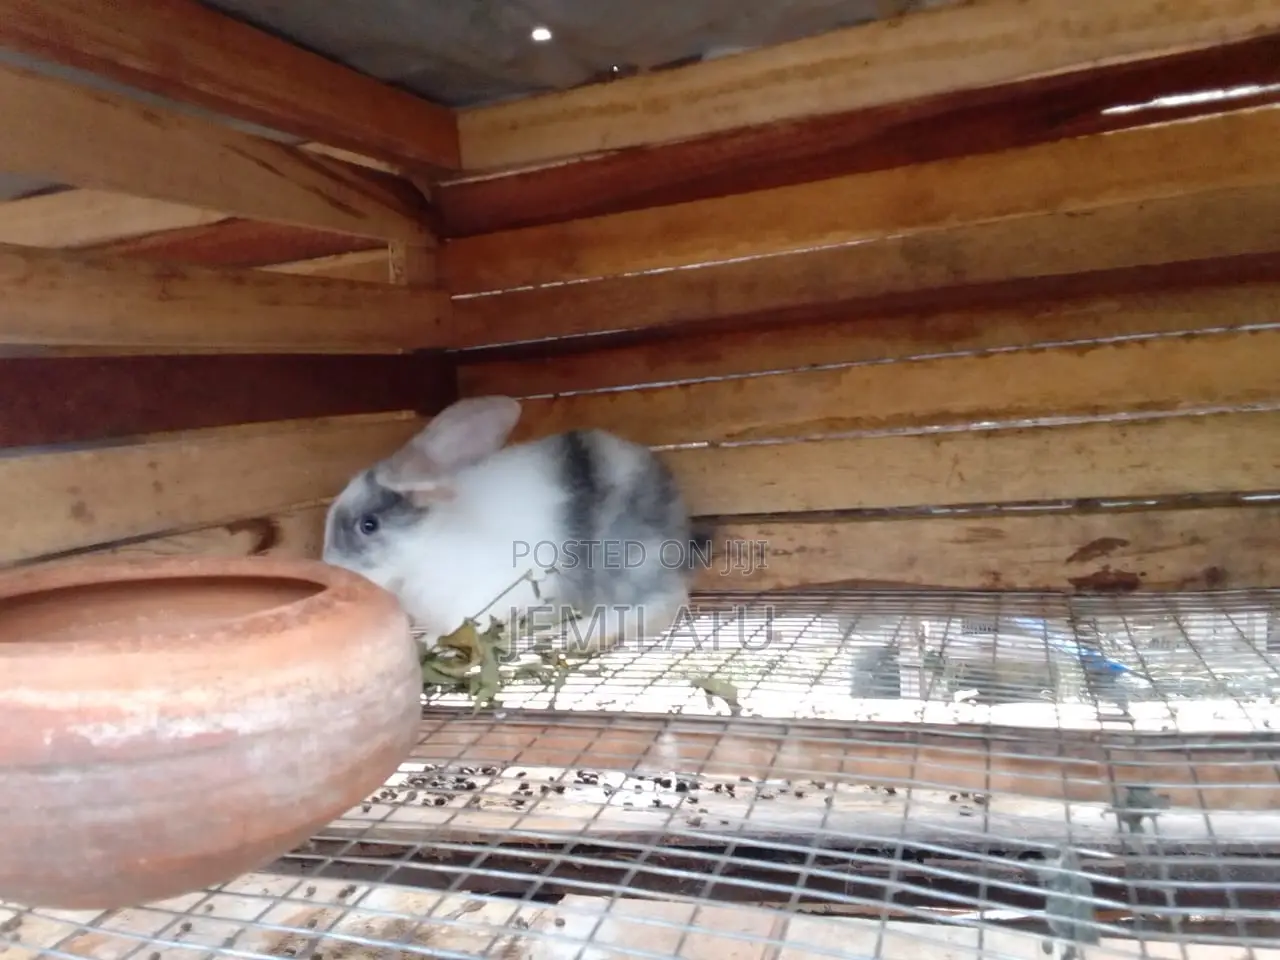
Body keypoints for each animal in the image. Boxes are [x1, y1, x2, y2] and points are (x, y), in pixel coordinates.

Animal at [321, 395, 713, 654]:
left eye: (368, 525)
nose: (330, 565)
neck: (424, 545)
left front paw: (431, 643)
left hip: (627, 561)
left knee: (664, 602)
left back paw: (583, 634)